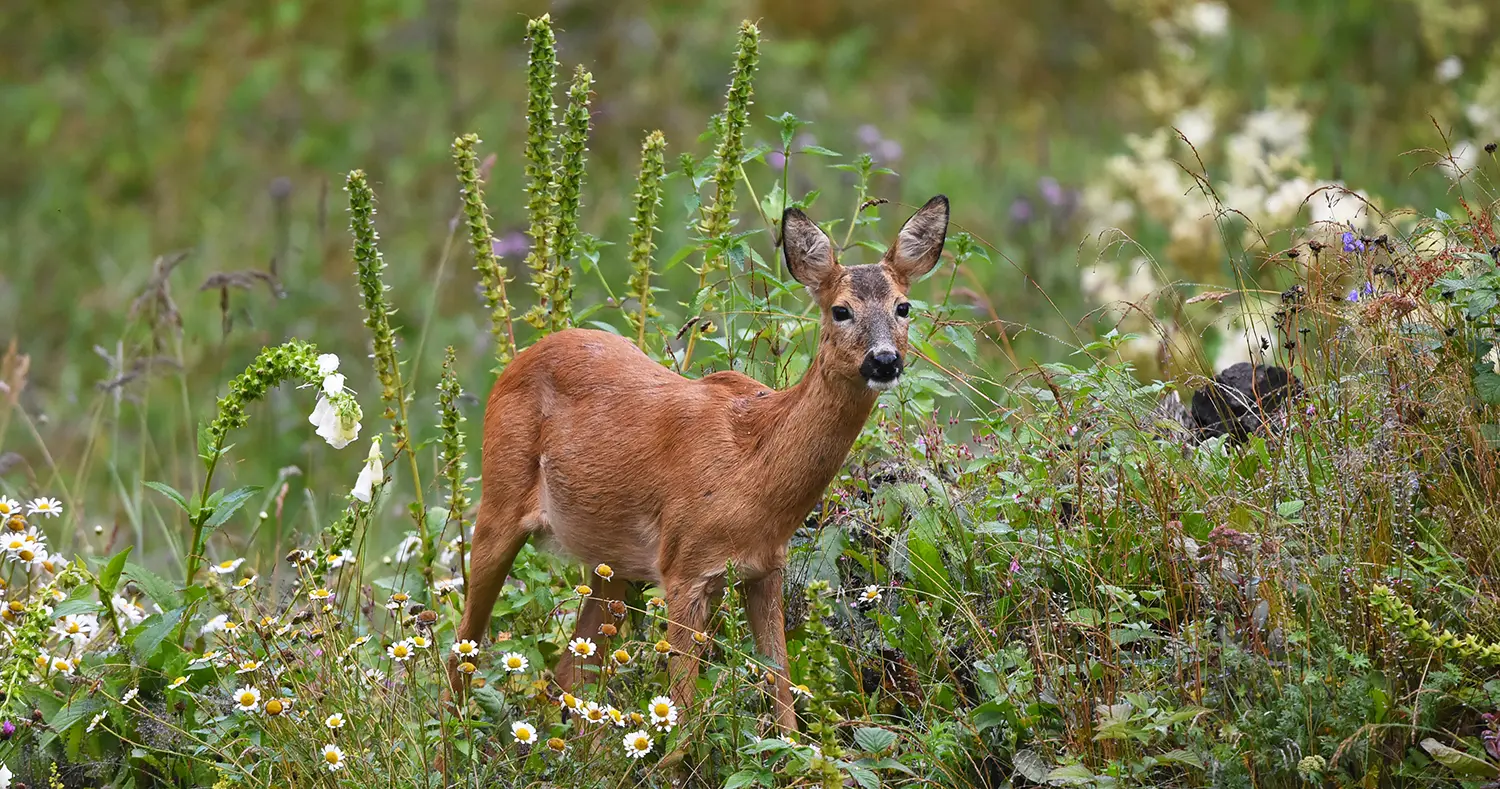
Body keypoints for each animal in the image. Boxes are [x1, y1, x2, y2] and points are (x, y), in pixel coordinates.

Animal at [444, 196, 954, 729]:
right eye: (841, 310)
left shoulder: (765, 569)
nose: (884, 361)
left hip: (613, 564)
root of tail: (520, 359)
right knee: (461, 650)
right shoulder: (684, 568)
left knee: (566, 673)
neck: (753, 473)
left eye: (903, 306)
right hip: (499, 500)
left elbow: (783, 691)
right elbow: (684, 712)